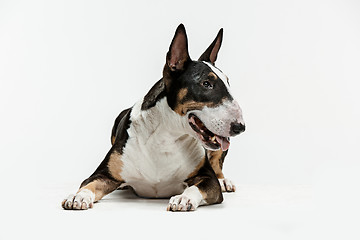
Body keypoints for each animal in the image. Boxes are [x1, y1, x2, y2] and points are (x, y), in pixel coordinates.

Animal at [63, 24, 246, 212]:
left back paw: (224, 180)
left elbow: (197, 187)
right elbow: (88, 184)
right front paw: (78, 196)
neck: (167, 137)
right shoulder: (102, 174)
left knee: (217, 162)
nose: (240, 127)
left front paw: (183, 198)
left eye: (228, 84)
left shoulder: (208, 180)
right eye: (206, 84)